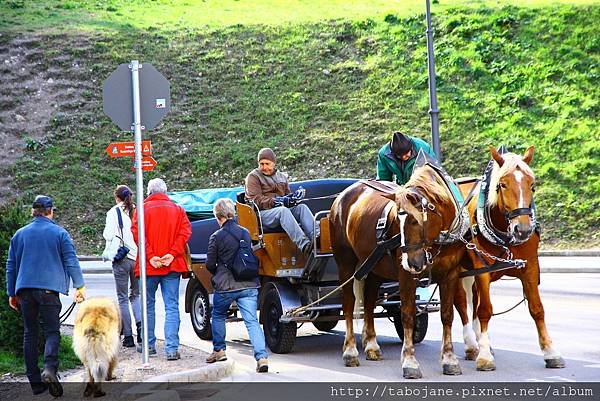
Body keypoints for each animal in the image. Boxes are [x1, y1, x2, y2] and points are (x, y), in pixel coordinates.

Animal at [330, 163, 472, 378]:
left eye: (415, 221)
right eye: (397, 221)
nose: (411, 262)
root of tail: (342, 196)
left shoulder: (450, 274)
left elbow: (447, 314)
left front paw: (449, 359)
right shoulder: (406, 277)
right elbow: (407, 315)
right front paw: (409, 362)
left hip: (374, 266)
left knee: (369, 301)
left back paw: (372, 346)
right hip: (345, 263)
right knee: (348, 302)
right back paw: (350, 351)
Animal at [458, 145, 564, 370]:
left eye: (532, 185)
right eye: (502, 184)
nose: (522, 229)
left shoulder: (530, 266)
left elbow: (537, 308)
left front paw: (550, 351)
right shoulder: (482, 269)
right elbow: (485, 310)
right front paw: (484, 357)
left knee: (473, 302)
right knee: (462, 303)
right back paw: (472, 345)